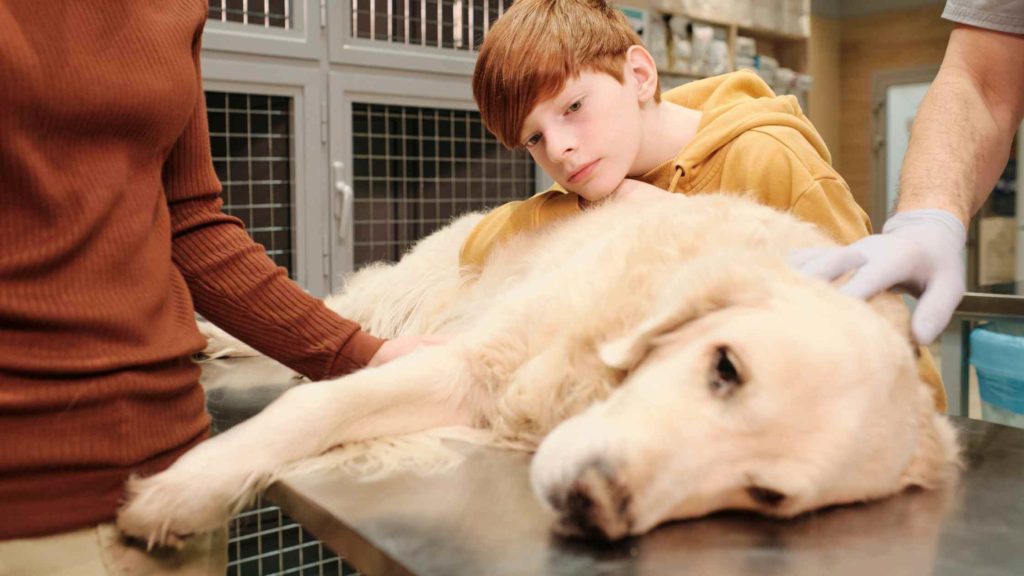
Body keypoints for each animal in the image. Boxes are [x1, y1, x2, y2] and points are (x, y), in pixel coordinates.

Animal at [117, 191, 958, 541]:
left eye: (767, 496)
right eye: (726, 367)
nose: (595, 501)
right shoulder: (469, 361)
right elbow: (315, 407)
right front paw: (184, 491)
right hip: (403, 301)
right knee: (324, 320)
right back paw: (208, 334)